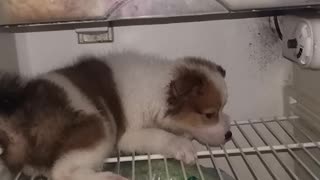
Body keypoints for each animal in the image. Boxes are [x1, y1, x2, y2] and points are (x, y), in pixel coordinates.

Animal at [0, 51, 231, 179]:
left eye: (223, 108)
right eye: (209, 114)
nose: (229, 136)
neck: (158, 91)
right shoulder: (128, 134)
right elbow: (159, 135)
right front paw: (182, 145)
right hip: (99, 127)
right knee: (61, 172)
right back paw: (110, 178)